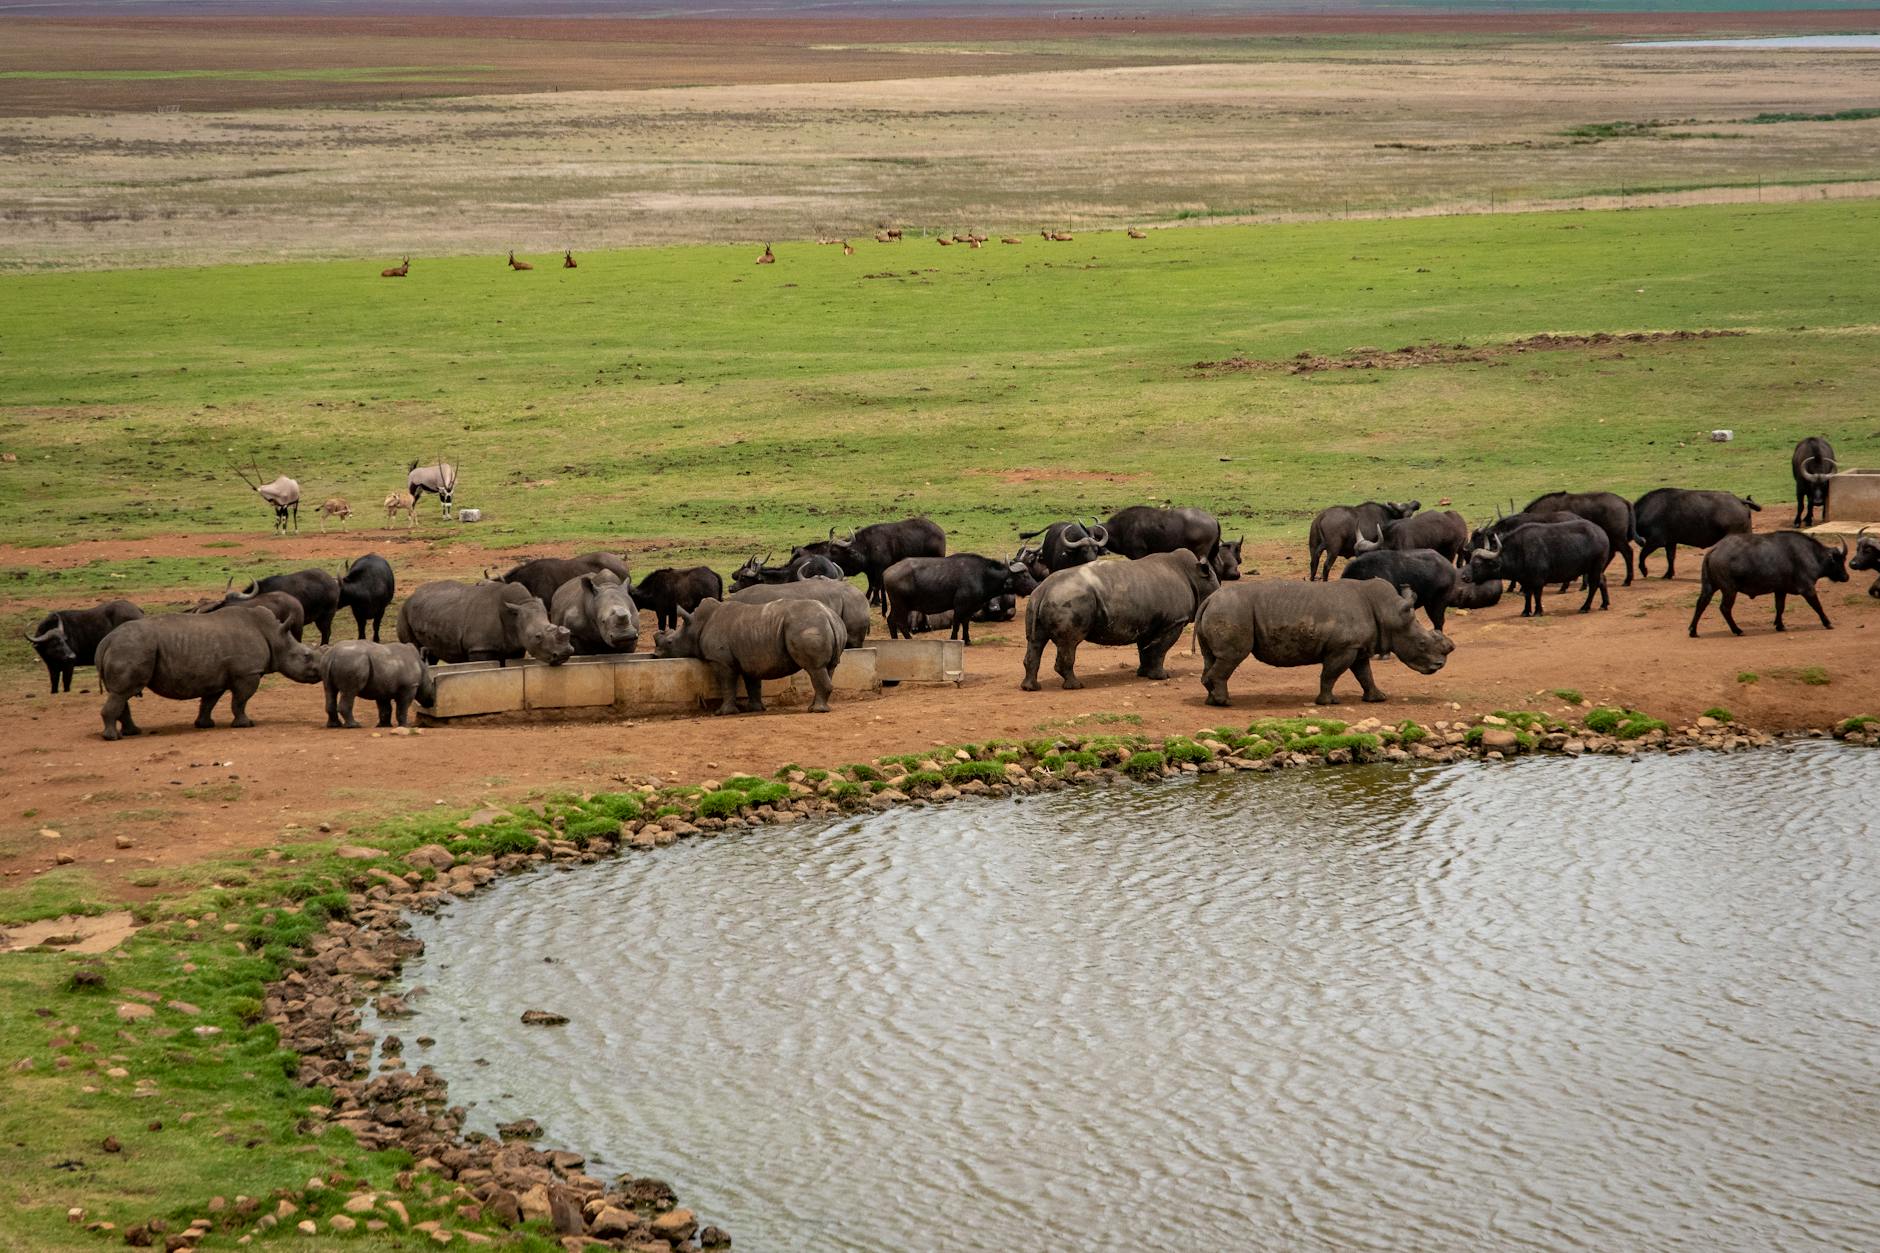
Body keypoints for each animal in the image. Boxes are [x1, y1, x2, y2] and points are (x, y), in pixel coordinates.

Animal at [96, 605, 324, 740]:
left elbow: (209, 702)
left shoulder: (216, 676)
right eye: (306, 656)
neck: (276, 637)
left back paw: (132, 732)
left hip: (128, 647)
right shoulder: (247, 673)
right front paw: (246, 724)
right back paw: (113, 737)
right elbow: (240, 701)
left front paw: (205, 725)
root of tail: (106, 641)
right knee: (123, 693)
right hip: (131, 648)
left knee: (122, 694)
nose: (320, 673)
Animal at [396, 580, 574, 666]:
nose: (564, 654)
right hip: (403, 613)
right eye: (538, 637)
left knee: (430, 655)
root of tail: (410, 596)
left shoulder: (515, 646)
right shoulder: (480, 648)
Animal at [652, 596, 847, 714]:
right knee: (828, 668)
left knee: (814, 668)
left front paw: (723, 713)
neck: (696, 625)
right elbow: (753, 684)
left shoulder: (720, 661)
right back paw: (817, 707)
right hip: (829, 625)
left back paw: (816, 710)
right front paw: (754, 709)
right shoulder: (750, 656)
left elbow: (727, 684)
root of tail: (829, 616)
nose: (655, 655)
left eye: (670, 642)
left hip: (806, 626)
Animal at [1021, 550, 1219, 691]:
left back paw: (1030, 688)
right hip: (1069, 599)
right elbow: (1160, 649)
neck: (1194, 576)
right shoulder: (1173, 622)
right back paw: (1075, 686)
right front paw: (1162, 676)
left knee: (1035, 641)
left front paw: (1143, 674)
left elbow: (1145, 649)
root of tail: (1044, 588)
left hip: (1040, 599)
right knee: (1070, 643)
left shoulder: (1147, 622)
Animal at [1195, 579, 1454, 707]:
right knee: (1231, 657)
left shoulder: (1358, 647)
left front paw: (1378, 698)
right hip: (1232, 610)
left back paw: (1212, 701)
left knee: (1212, 657)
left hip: (1224, 609)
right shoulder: (1343, 647)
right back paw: (1225, 703)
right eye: (1422, 643)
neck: (1389, 612)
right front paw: (1329, 702)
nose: (1440, 665)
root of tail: (1209, 598)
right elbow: (1330, 674)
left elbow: (1365, 674)